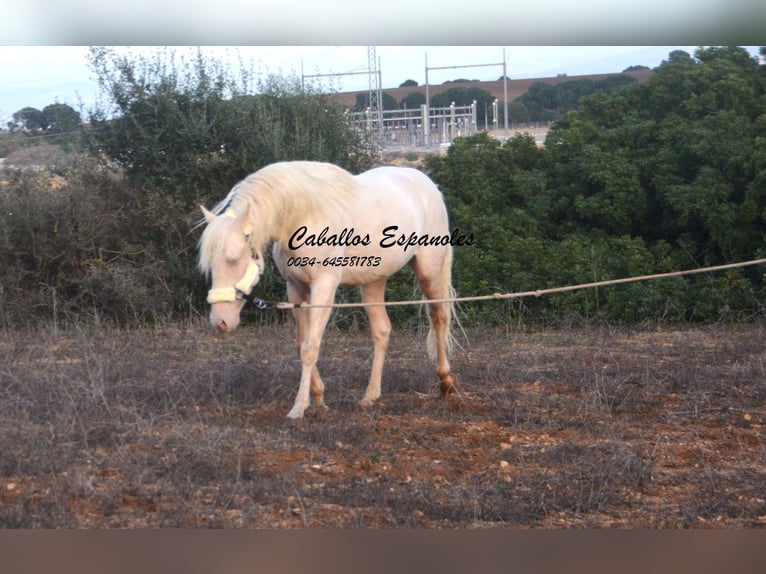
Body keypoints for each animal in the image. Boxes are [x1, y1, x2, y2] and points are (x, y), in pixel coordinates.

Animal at [200, 160, 462, 420]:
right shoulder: (296, 289)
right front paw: (318, 398)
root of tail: (428, 184)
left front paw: (299, 407)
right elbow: (302, 343)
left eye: (233, 259)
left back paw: (446, 382)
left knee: (439, 317)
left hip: (428, 271)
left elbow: (310, 347)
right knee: (382, 330)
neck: (304, 215)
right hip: (373, 282)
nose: (220, 321)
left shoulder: (324, 287)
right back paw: (371, 395)